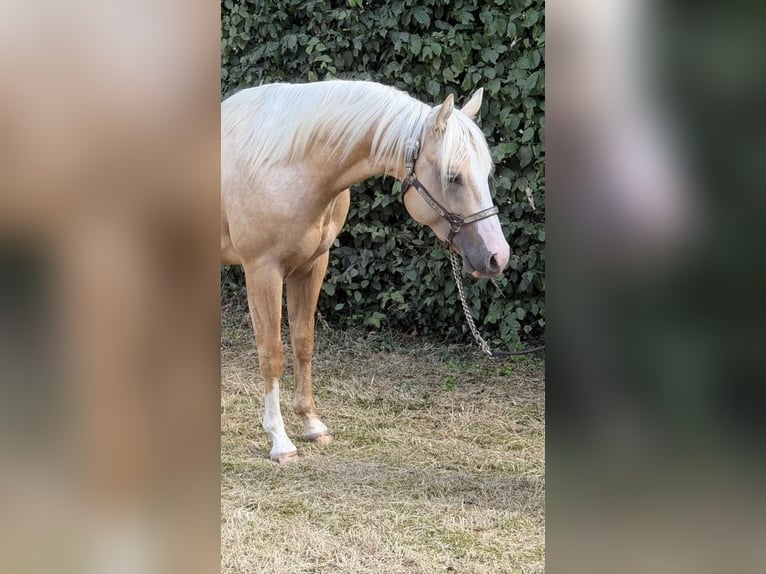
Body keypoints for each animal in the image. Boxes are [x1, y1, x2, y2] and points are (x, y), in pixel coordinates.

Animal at [221, 80, 510, 463]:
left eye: (487, 173)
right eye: (453, 177)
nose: (497, 257)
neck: (285, 165)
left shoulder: (311, 266)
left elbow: (303, 342)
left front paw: (312, 424)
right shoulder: (262, 270)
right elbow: (272, 354)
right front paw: (280, 441)